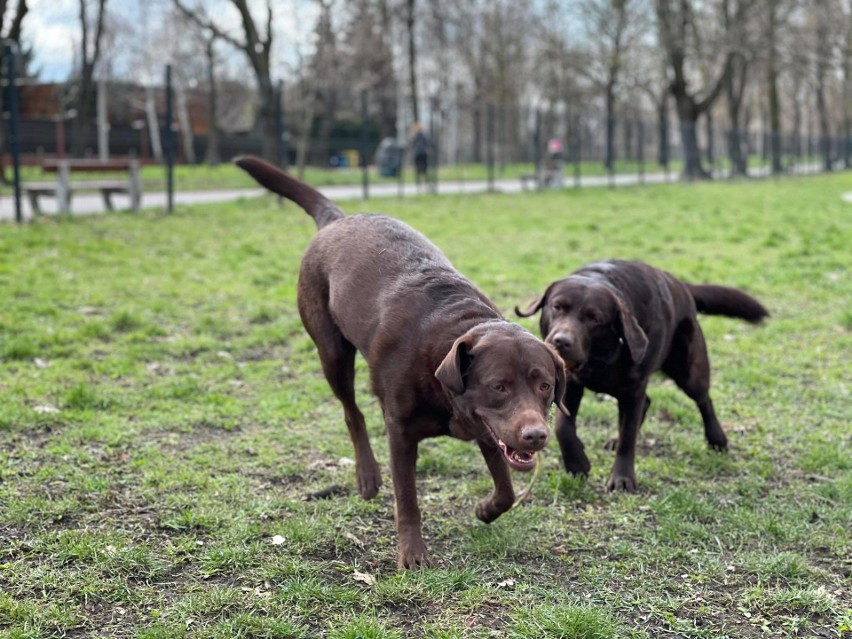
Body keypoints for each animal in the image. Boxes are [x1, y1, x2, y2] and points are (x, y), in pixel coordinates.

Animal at [236, 158, 564, 568]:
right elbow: (407, 498)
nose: (536, 435)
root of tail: (337, 219)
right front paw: (413, 552)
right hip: (331, 352)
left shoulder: (488, 430)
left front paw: (486, 509)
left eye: (544, 385)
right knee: (352, 412)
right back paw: (367, 476)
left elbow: (505, 487)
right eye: (499, 386)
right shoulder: (401, 432)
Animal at [516, 258, 768, 492]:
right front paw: (577, 464)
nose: (561, 341)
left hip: (688, 371)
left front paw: (622, 478)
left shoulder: (633, 390)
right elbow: (563, 427)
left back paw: (716, 438)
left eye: (594, 318)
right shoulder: (572, 385)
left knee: (704, 399)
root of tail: (681, 285)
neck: (600, 356)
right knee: (647, 404)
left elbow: (629, 438)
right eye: (557, 307)